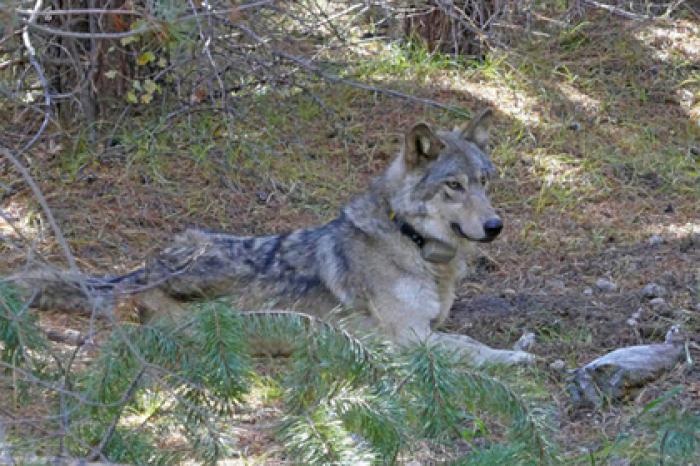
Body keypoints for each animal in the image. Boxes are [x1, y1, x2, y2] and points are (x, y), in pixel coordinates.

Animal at [24, 107, 532, 366]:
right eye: (454, 186)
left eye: (484, 182)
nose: (495, 226)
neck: (413, 243)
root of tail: (140, 269)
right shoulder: (409, 338)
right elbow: (471, 349)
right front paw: (513, 358)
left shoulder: (429, 326)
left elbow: (465, 337)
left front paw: (520, 344)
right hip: (211, 269)